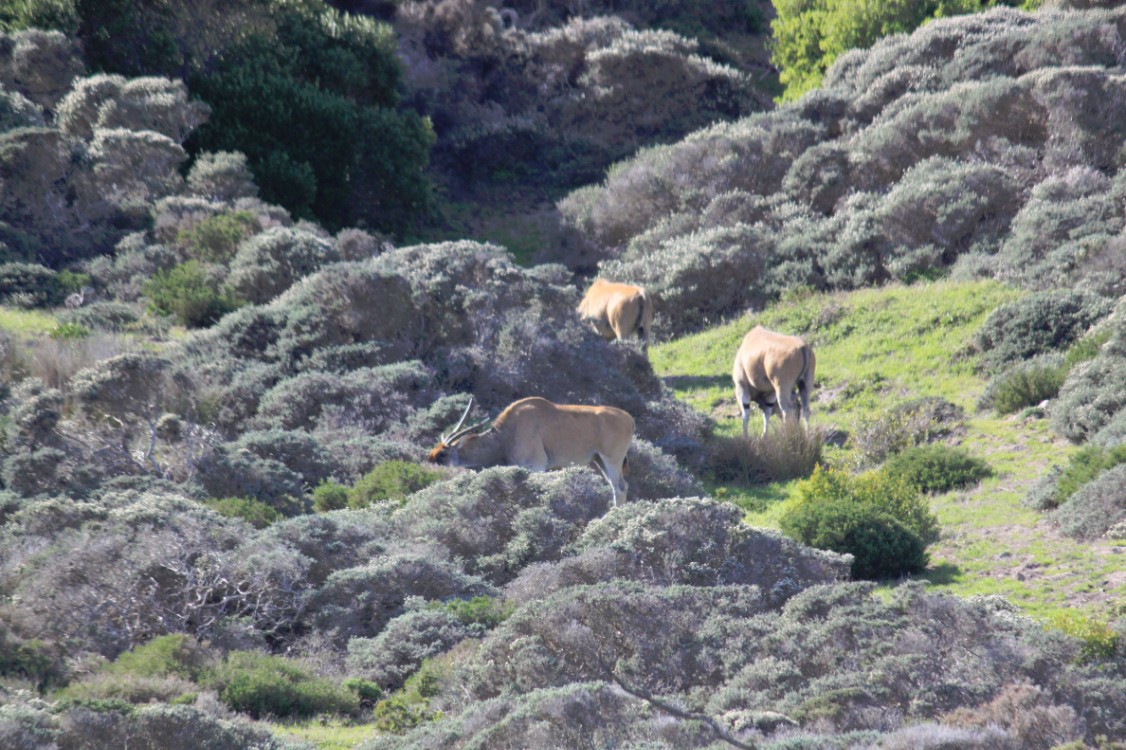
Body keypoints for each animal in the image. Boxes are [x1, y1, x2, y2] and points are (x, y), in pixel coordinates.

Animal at [425, 394, 635, 504]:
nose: (429, 459)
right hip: (599, 460)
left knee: (620, 487)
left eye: (443, 453)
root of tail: (628, 418)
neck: (505, 437)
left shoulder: (536, 467)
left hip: (612, 459)